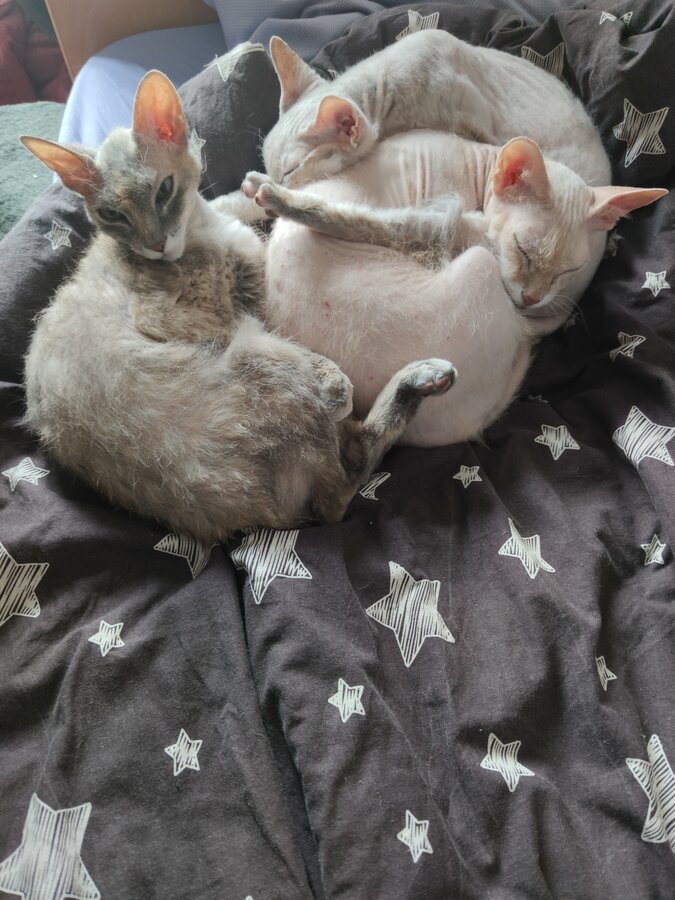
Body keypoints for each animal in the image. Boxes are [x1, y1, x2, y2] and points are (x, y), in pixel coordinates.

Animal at [22, 70, 456, 542]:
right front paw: (334, 381)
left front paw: (264, 189)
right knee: (341, 487)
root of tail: (265, 520)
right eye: (112, 215)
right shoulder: (182, 316)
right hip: (259, 355)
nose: (155, 245)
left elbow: (239, 199)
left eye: (163, 192)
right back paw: (417, 378)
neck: (202, 229)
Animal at [244, 130, 666, 449]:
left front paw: (274, 195)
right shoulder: (445, 219)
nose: (531, 298)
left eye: (568, 271)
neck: (477, 162)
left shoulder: (446, 226)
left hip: (476, 261)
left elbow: (367, 221)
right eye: (523, 250)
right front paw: (267, 192)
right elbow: (368, 220)